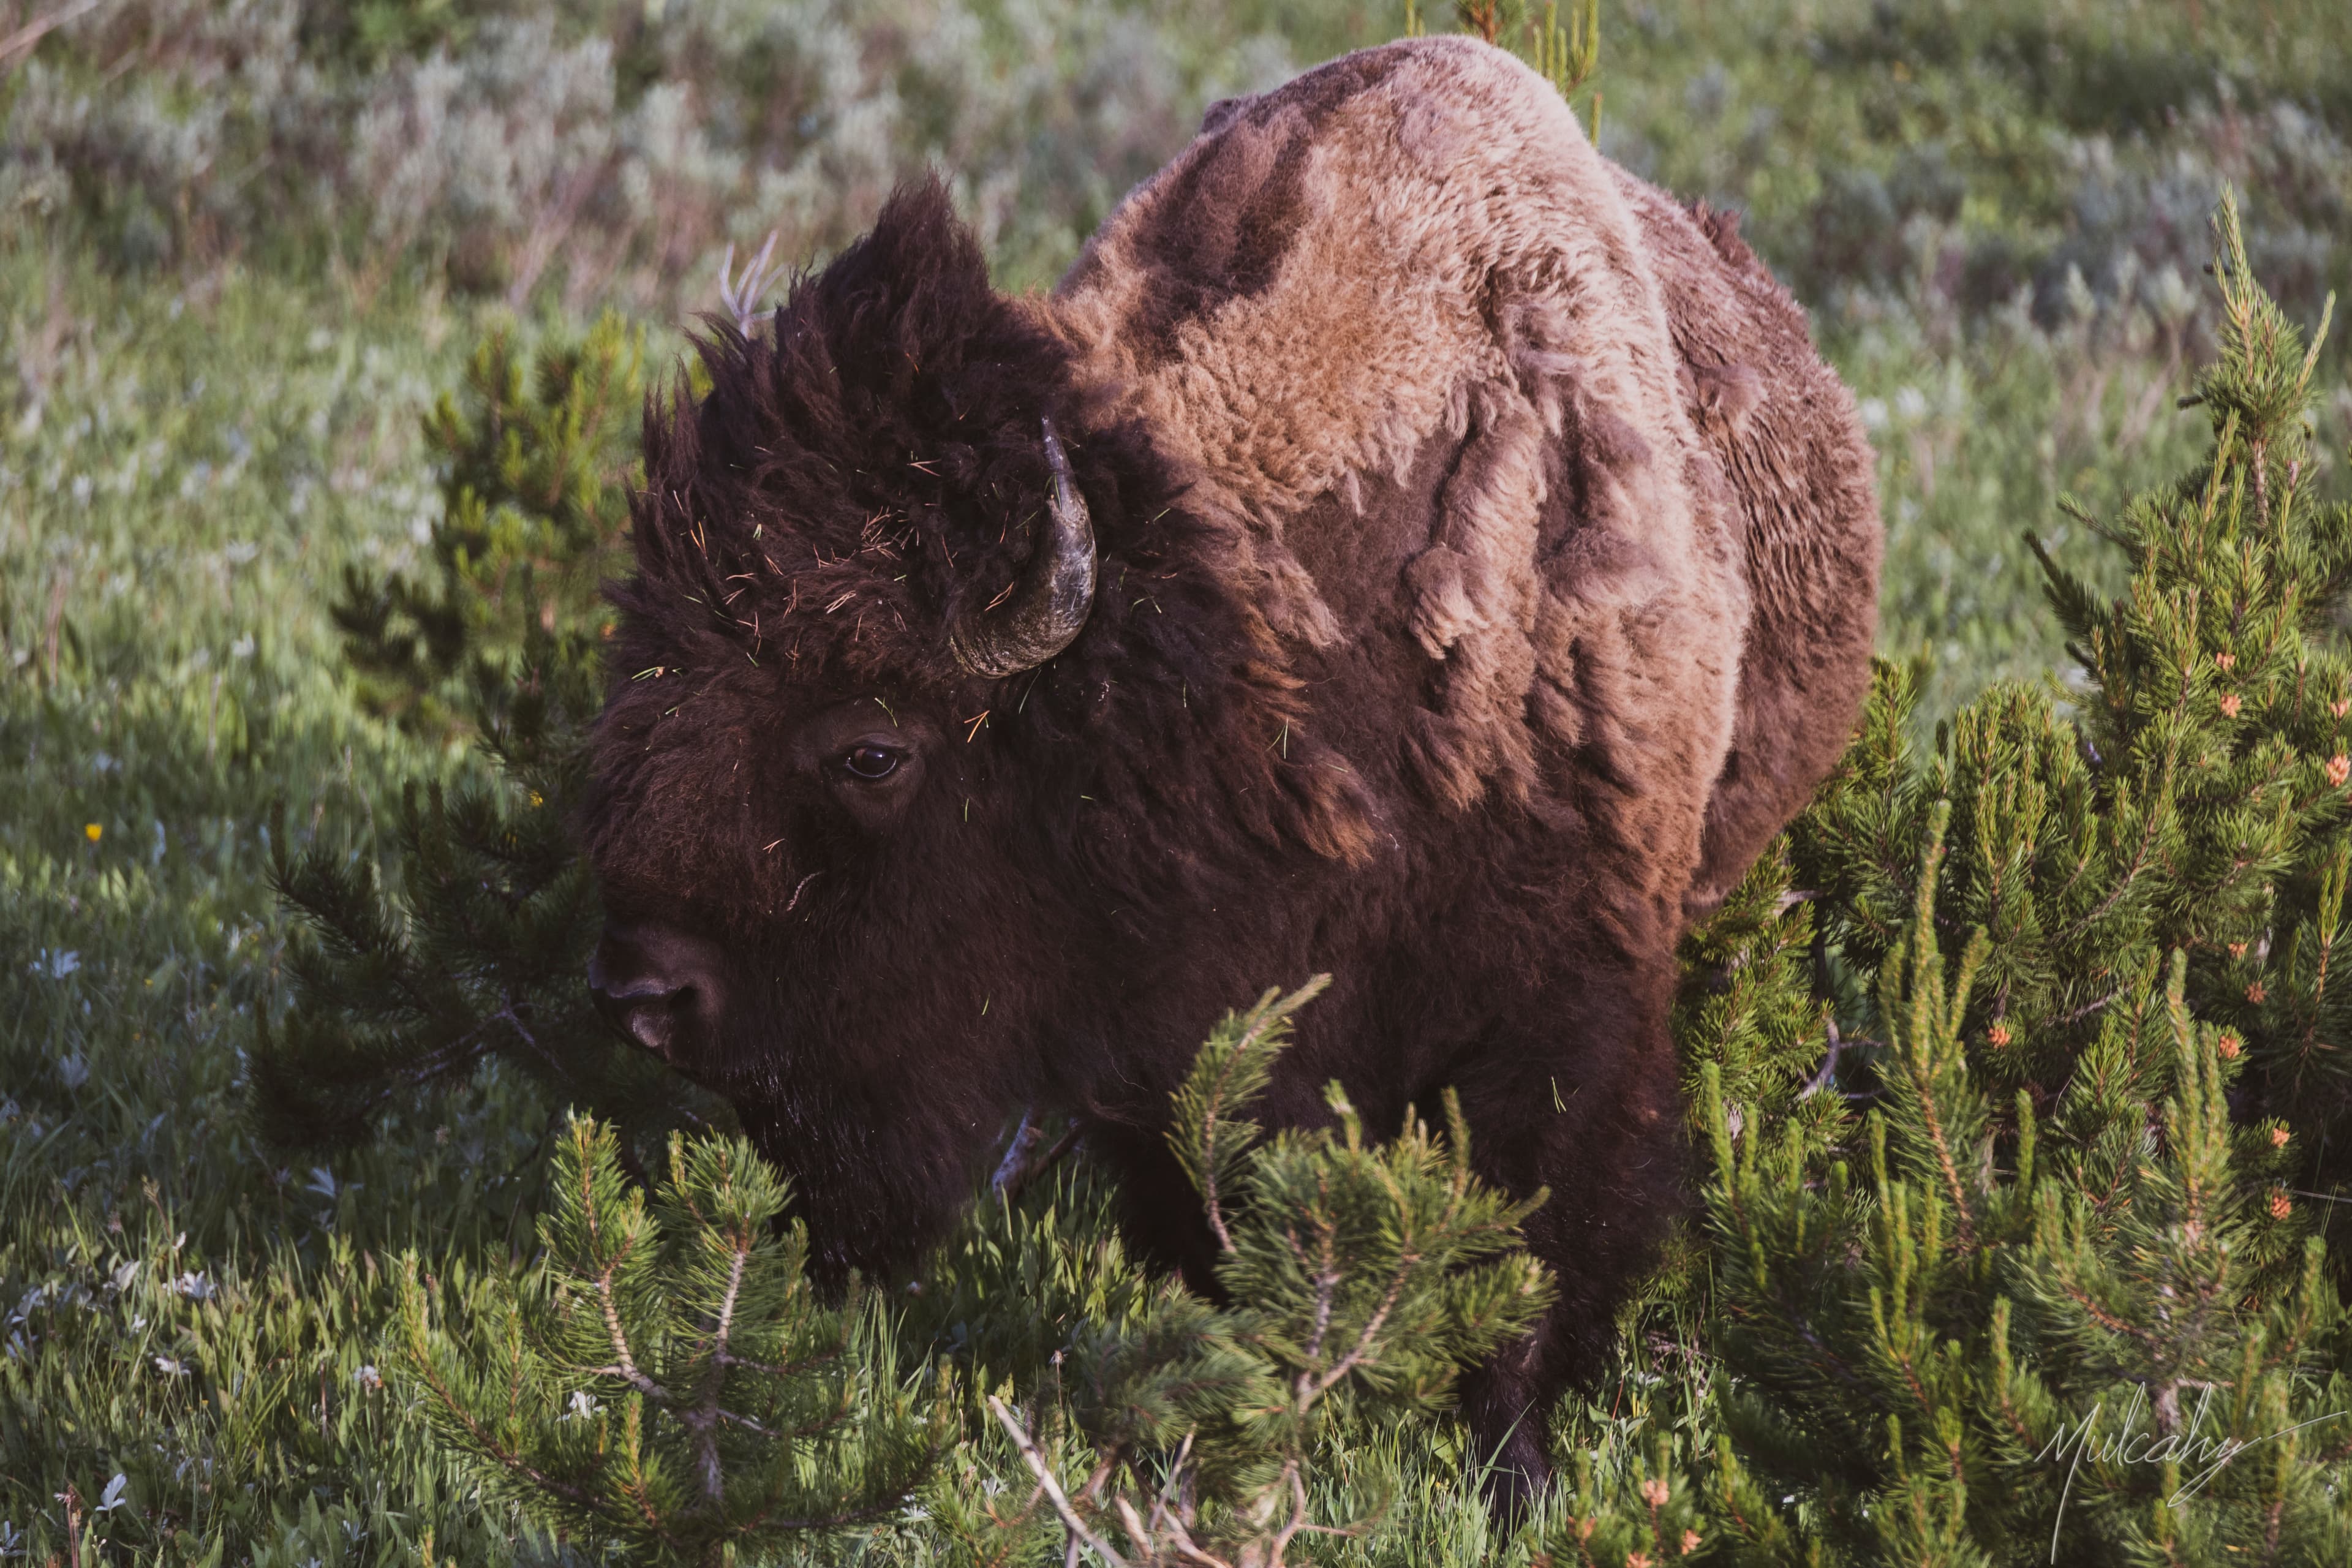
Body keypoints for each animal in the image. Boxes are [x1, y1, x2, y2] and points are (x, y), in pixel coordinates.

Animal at [582, 35, 1880, 1503]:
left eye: (872, 748)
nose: (643, 993)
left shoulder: (1568, 1004)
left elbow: (1537, 1245)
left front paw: (1517, 1474)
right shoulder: (1169, 1060)